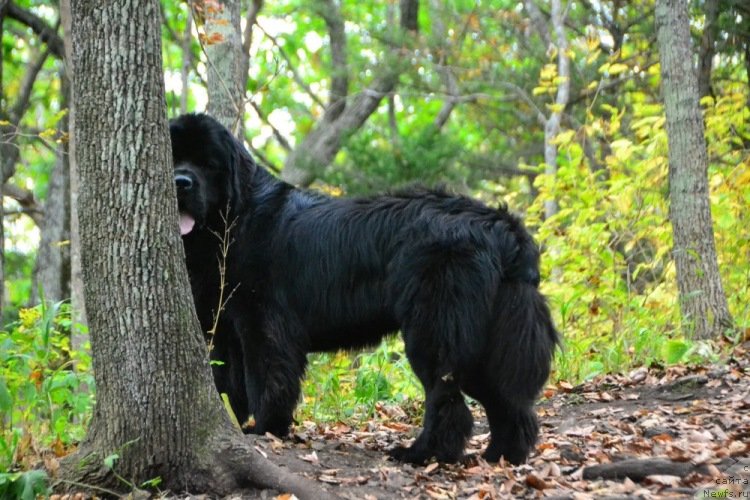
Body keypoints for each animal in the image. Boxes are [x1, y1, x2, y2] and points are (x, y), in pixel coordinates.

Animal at [169, 113, 560, 464]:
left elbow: (266, 380)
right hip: (486, 342)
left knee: (448, 401)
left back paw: (422, 454)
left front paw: (263, 429)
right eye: (173, 159)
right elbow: (226, 383)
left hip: (434, 331)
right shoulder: (223, 329)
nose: (180, 182)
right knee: (509, 403)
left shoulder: (264, 325)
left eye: (208, 164)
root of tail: (500, 226)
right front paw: (236, 424)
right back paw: (501, 456)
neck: (235, 220)